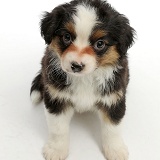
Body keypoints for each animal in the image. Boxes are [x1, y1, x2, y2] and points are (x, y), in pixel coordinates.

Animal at [30, 0, 135, 160]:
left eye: (100, 44)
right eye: (67, 37)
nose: (76, 66)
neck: (84, 79)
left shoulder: (113, 98)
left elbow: (112, 129)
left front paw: (115, 151)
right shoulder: (57, 98)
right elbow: (58, 129)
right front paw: (56, 150)